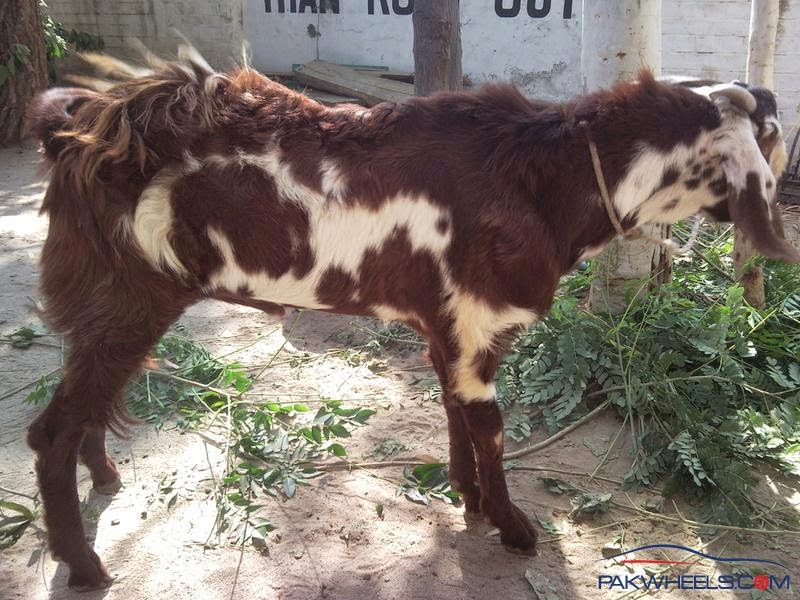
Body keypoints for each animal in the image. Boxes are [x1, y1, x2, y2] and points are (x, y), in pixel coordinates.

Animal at [25, 52, 800, 592]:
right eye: (772, 133)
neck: (546, 178)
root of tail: (78, 130)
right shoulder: (477, 318)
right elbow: (490, 422)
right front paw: (513, 526)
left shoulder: (446, 326)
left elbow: (456, 409)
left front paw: (470, 498)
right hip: (125, 299)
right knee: (51, 428)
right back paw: (86, 566)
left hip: (112, 312)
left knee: (91, 404)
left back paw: (106, 475)